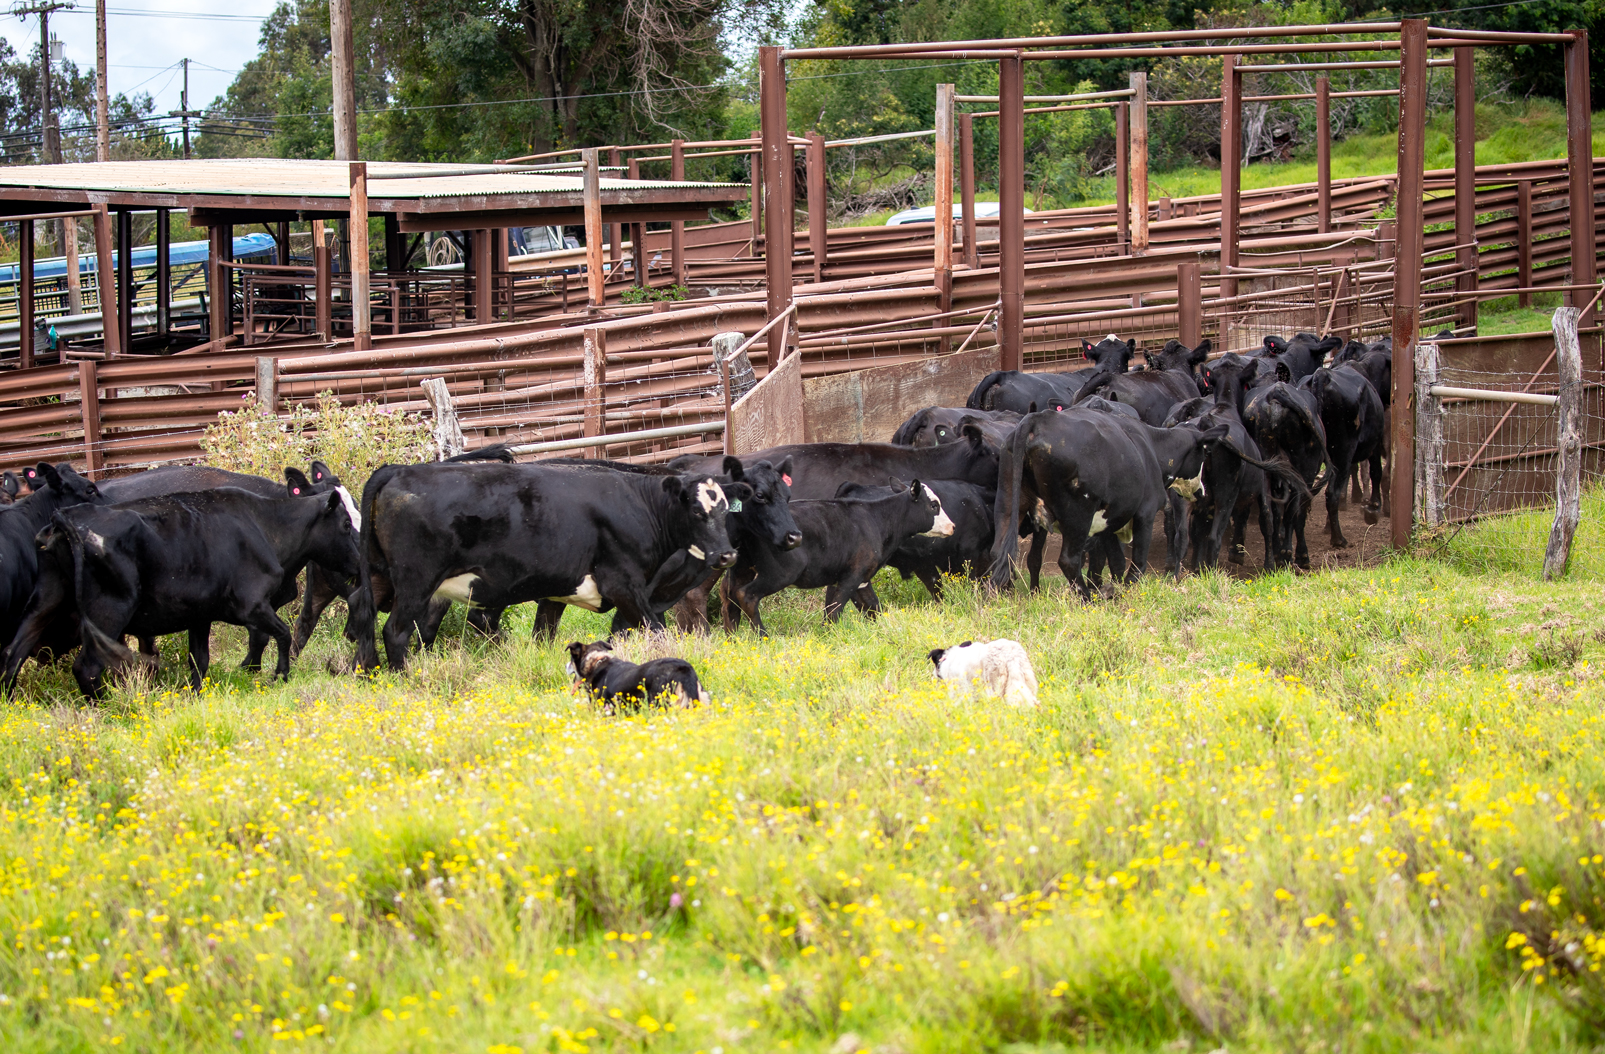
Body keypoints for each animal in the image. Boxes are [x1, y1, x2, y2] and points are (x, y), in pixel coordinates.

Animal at [44, 487, 362, 698]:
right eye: (346, 524)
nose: (362, 562)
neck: (265, 528)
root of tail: (68, 516)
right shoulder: (251, 605)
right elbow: (281, 633)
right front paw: (280, 674)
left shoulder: (199, 615)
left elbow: (200, 659)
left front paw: (196, 693)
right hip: (108, 613)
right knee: (87, 667)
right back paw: (108, 707)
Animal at [348, 461, 747, 671]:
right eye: (696, 511)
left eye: (725, 510)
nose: (727, 555)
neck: (638, 505)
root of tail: (399, 469)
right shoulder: (625, 586)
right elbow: (657, 631)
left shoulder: (558, 591)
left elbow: (545, 635)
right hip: (416, 582)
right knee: (395, 631)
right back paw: (406, 677)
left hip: (389, 578)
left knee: (373, 619)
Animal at [721, 482, 953, 637]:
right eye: (934, 505)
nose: (952, 526)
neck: (877, 519)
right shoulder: (852, 576)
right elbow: (835, 611)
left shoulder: (856, 578)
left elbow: (871, 608)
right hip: (780, 573)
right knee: (747, 595)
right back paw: (763, 637)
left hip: (742, 569)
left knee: (729, 594)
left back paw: (732, 639)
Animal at [988, 410, 1229, 599]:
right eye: (1205, 452)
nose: (1201, 492)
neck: (1151, 447)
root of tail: (1038, 419)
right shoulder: (1145, 513)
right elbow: (1137, 563)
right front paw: (1125, 591)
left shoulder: (1111, 520)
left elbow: (1117, 562)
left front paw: (1115, 590)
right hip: (1078, 514)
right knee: (1068, 560)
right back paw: (1087, 599)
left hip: (1008, 503)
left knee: (999, 551)